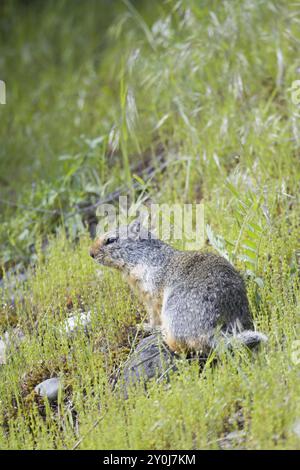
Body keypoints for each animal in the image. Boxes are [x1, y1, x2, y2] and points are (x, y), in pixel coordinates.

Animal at [89, 219, 268, 352]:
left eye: (110, 240)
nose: (90, 253)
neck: (142, 258)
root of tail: (212, 329)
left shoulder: (152, 290)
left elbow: (154, 314)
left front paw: (145, 326)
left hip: (173, 311)